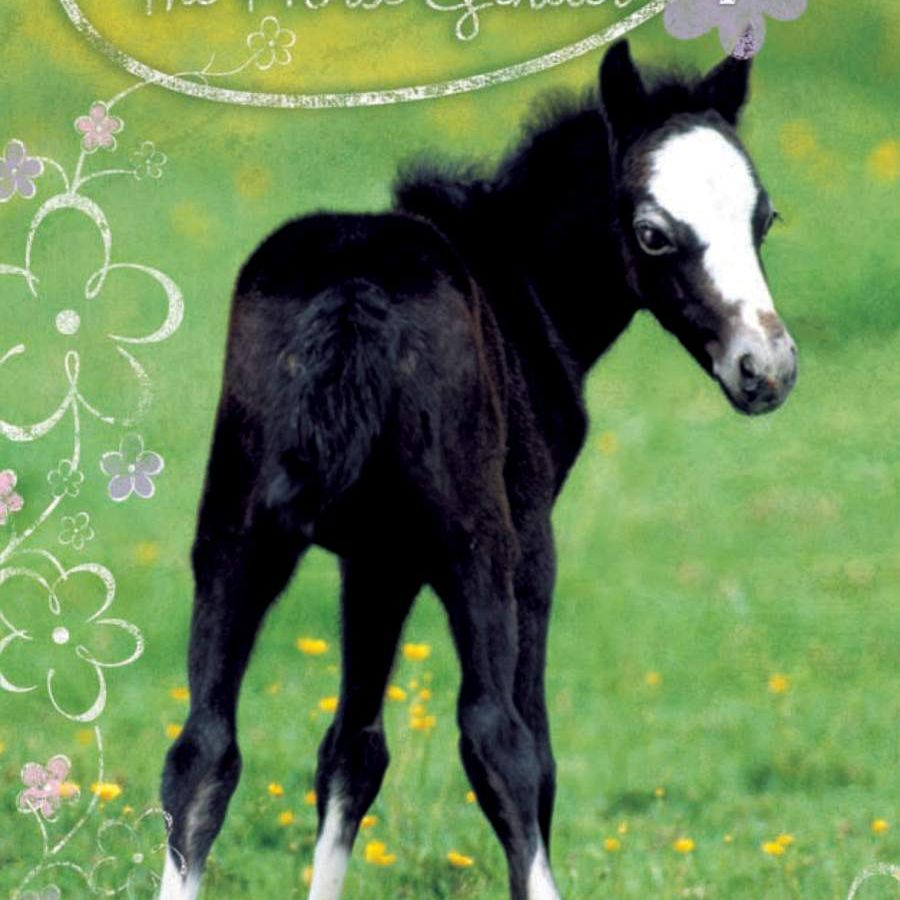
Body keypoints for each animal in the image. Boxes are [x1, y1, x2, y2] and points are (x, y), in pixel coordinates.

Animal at [158, 39, 797, 900]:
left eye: (764, 219)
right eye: (654, 234)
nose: (766, 369)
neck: (520, 283)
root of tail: (352, 289)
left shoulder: (377, 556)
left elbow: (350, 750)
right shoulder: (529, 540)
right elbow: (530, 752)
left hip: (232, 532)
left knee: (202, 749)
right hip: (476, 543)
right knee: (498, 741)